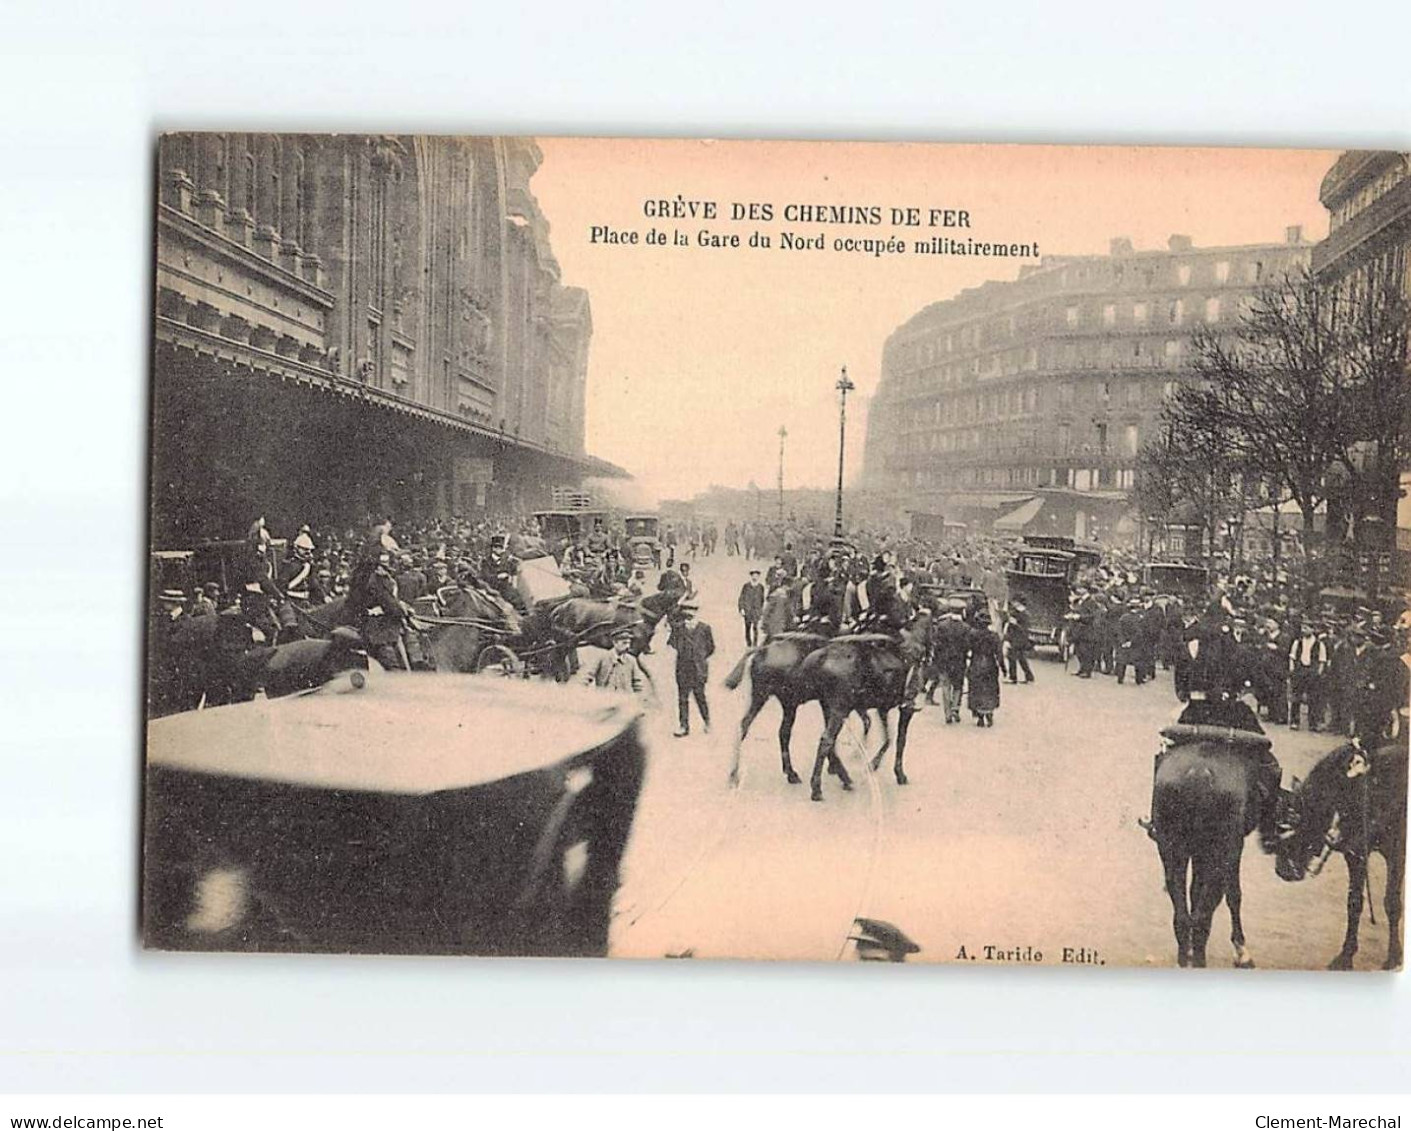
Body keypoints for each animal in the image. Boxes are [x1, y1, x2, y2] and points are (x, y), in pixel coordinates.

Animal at [801, 609, 931, 801]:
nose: (928, 656)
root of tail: (822, 655)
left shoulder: (882, 709)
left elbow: (888, 737)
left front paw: (873, 764)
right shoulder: (906, 709)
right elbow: (900, 740)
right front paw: (898, 773)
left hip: (828, 707)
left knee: (830, 742)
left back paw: (843, 776)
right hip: (840, 709)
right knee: (827, 740)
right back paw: (817, 788)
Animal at [1145, 727, 1269, 964]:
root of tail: (1199, 772)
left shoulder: (1196, 852)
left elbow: (1194, 891)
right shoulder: (1233, 849)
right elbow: (1233, 895)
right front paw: (1241, 949)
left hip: (1172, 848)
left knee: (1183, 915)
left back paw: (1185, 955)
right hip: (1222, 850)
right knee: (1204, 916)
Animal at [1275, 738, 1405, 970]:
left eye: (1307, 818)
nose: (1283, 870)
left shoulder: (1396, 853)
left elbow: (1391, 902)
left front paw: (1393, 955)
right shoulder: (1356, 855)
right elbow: (1354, 903)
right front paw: (1346, 955)